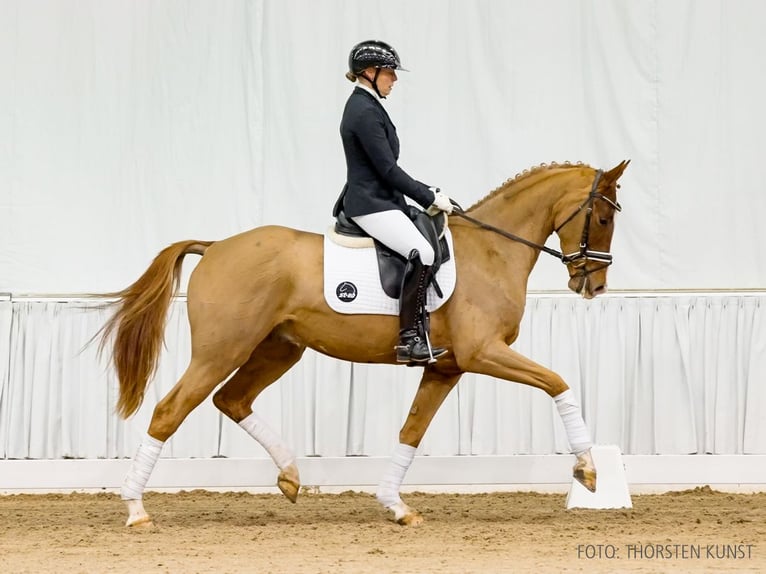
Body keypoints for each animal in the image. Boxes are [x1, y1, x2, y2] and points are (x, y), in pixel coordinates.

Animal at [100, 160, 632, 528]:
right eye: (605, 218)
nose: (594, 285)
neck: (492, 251)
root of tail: (214, 247)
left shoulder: (446, 366)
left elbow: (411, 432)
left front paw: (396, 506)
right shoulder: (483, 353)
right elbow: (558, 382)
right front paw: (588, 470)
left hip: (279, 349)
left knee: (231, 400)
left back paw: (290, 476)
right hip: (221, 351)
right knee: (170, 411)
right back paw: (136, 510)